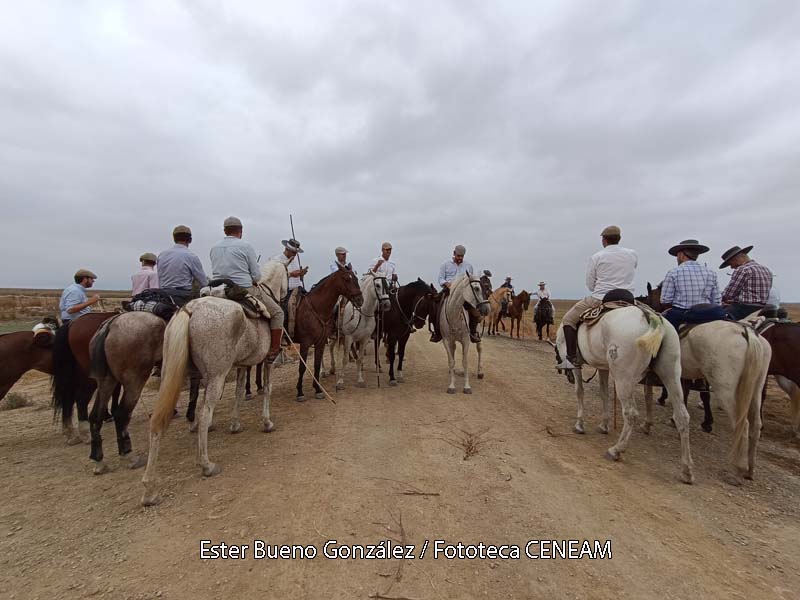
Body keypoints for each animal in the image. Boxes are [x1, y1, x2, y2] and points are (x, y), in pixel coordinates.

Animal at [87, 312, 166, 476]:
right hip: (134, 380)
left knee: (96, 416)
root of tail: (110, 325)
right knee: (121, 414)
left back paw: (99, 460)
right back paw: (129, 455)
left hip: (106, 381)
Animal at [294, 266, 362, 398]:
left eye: (356, 278)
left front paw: (318, 389)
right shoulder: (305, 343)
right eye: (347, 279)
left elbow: (316, 363)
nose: (360, 300)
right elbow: (302, 367)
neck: (316, 308)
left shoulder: (323, 340)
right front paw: (300, 391)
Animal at [552, 308, 692, 486]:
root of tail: (650, 316)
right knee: (682, 417)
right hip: (671, 376)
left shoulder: (577, 365)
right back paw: (686, 470)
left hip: (623, 378)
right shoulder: (603, 367)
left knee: (631, 413)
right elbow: (604, 393)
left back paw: (616, 450)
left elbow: (580, 391)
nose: (563, 373)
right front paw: (604, 425)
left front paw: (579, 425)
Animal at [648, 324, 776, 482]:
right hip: (756, 388)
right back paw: (750, 470)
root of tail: (748, 333)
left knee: (742, 424)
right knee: (756, 424)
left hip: (725, 390)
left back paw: (736, 469)